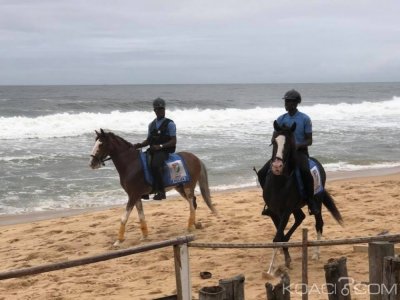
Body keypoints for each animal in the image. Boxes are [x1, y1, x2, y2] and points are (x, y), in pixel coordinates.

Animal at [89, 129, 217, 246]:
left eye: (101, 144)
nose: (92, 163)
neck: (131, 163)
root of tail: (195, 158)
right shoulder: (136, 196)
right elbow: (141, 216)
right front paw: (144, 235)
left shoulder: (133, 195)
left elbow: (124, 217)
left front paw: (119, 240)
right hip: (179, 187)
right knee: (193, 203)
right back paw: (196, 224)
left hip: (188, 187)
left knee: (191, 203)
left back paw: (190, 226)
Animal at [260, 121, 344, 270]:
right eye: (274, 141)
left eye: (289, 144)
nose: (277, 166)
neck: (279, 182)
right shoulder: (274, 211)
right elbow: (279, 236)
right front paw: (285, 259)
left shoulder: (286, 211)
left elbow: (277, 238)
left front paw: (270, 269)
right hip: (296, 207)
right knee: (300, 217)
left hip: (317, 201)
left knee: (319, 223)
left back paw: (316, 253)